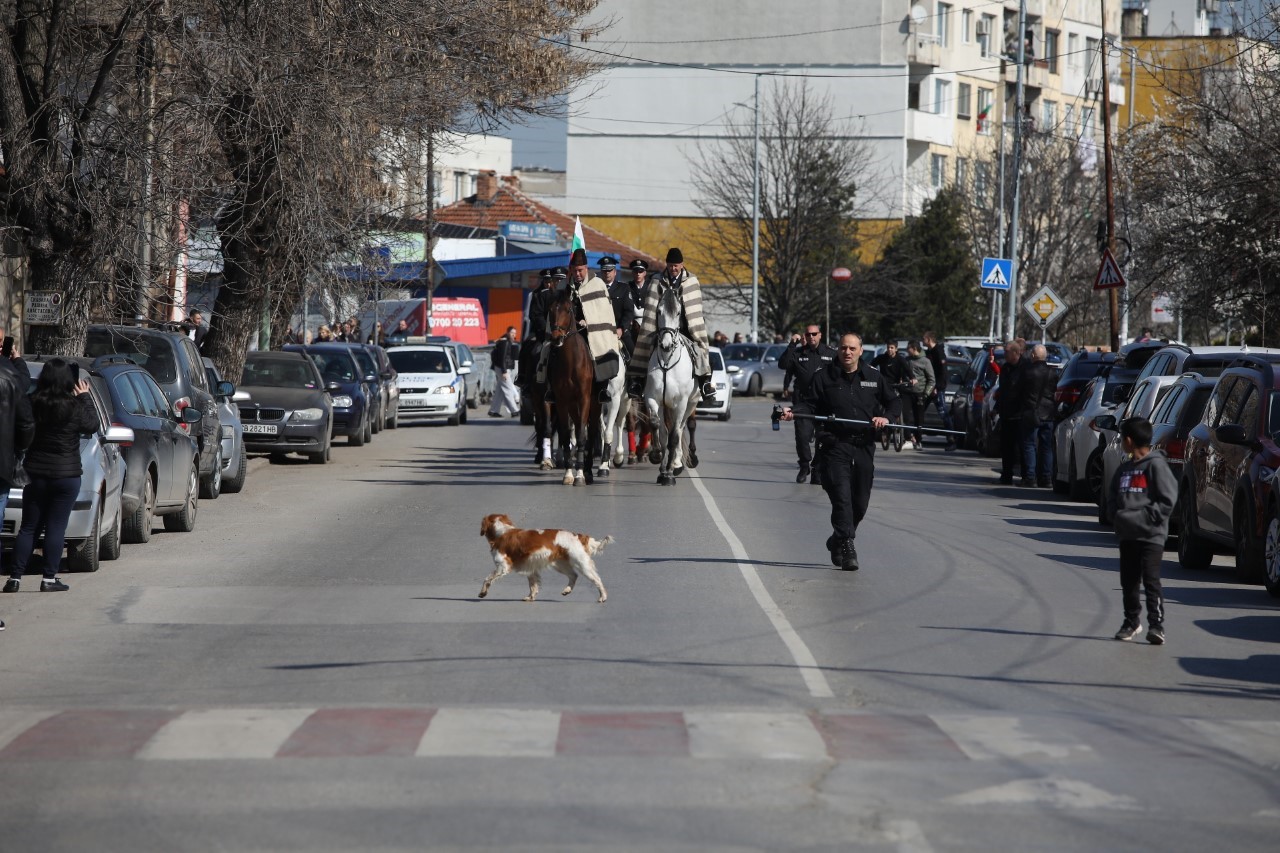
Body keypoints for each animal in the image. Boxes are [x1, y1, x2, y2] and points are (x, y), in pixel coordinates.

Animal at [478, 507, 611, 601]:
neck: (502, 531)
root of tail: (578, 535)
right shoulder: (530, 567)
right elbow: (533, 585)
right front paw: (530, 597)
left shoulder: (503, 566)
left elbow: (487, 579)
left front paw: (482, 592)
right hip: (559, 565)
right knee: (573, 575)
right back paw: (567, 590)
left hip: (581, 564)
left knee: (597, 579)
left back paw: (603, 597)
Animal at [547, 290, 601, 484]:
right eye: (551, 309)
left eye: (568, 309)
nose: (556, 337)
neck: (570, 362)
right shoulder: (562, 401)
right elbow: (565, 435)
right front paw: (569, 473)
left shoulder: (584, 399)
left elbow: (582, 435)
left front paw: (579, 475)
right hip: (571, 405)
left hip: (595, 404)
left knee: (590, 432)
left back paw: (588, 471)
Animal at [640, 285, 701, 484]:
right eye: (658, 311)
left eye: (679, 312)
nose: (666, 345)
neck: (667, 362)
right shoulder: (653, 398)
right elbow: (657, 427)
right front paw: (657, 457)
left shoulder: (681, 402)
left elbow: (675, 435)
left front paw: (669, 473)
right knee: (667, 430)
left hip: (690, 404)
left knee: (681, 428)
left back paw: (676, 464)